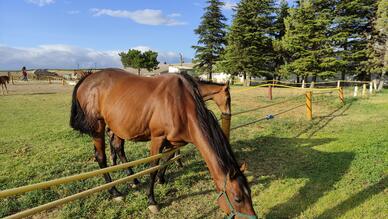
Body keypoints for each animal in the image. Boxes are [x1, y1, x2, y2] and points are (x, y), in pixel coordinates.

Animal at [70, 68, 258, 217]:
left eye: (250, 194)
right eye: (238, 198)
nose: (228, 114)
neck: (181, 104)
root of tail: (88, 77)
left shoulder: (175, 141)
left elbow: (166, 161)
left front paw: (162, 179)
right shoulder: (157, 138)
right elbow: (153, 167)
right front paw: (151, 200)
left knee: (118, 148)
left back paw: (132, 179)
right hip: (98, 127)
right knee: (100, 156)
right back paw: (115, 192)